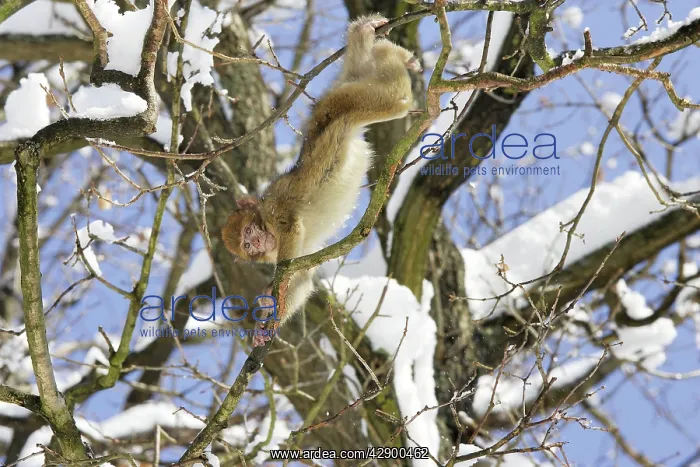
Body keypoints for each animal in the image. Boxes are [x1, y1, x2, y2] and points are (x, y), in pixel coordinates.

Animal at [222, 14, 421, 346]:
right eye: (247, 245)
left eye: (250, 232)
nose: (258, 242)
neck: (266, 221)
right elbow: (303, 276)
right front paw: (264, 322)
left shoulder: (276, 209)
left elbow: (290, 243)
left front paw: (275, 296)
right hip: (346, 91)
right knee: (362, 69)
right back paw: (371, 43)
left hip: (345, 104)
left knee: (397, 99)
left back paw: (394, 56)